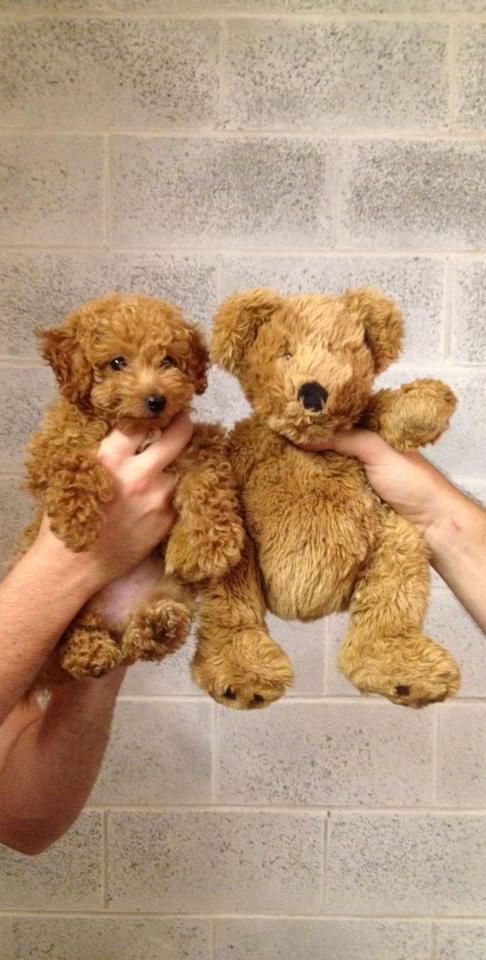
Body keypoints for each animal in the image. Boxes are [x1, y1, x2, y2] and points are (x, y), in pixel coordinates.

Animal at [22, 296, 243, 680]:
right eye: (117, 363)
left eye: (168, 360)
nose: (157, 400)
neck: (135, 427)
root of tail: (115, 619)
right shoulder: (51, 448)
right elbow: (72, 461)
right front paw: (77, 523)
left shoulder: (196, 444)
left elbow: (208, 481)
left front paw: (209, 546)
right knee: (73, 632)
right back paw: (88, 652)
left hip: (172, 589)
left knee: (143, 639)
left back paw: (157, 628)